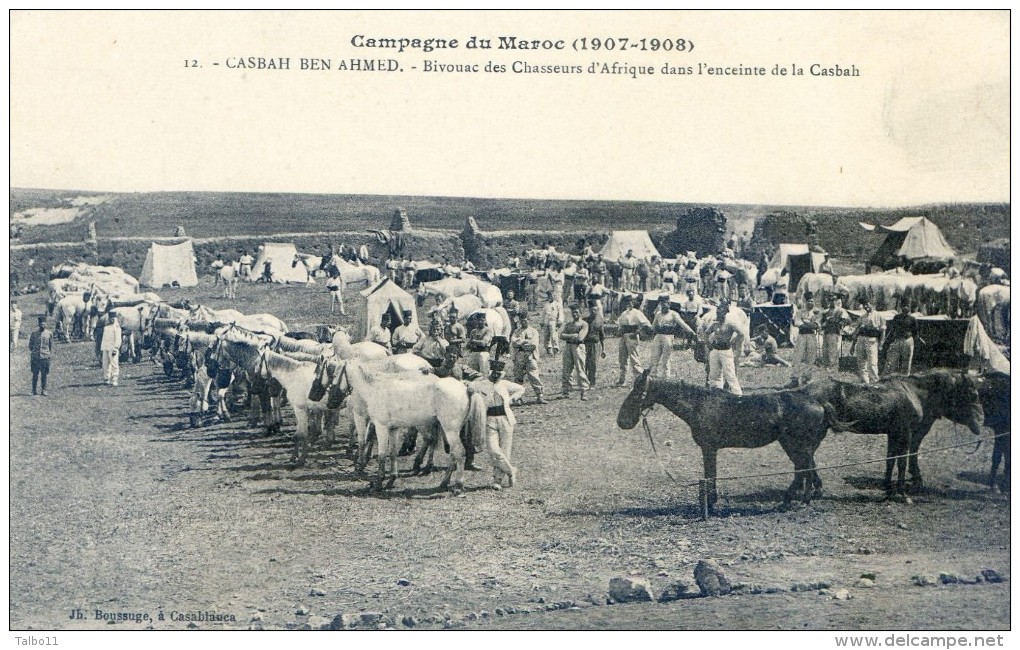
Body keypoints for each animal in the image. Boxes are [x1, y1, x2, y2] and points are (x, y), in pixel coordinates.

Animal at [616, 373, 832, 510]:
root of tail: (818, 402)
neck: (700, 404)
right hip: (794, 445)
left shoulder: (709, 449)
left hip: (796, 445)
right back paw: (802, 499)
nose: (622, 421)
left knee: (804, 468)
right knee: (805, 468)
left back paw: (795, 500)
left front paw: (710, 503)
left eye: (638, 392)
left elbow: (710, 475)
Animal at [799, 369, 983, 502]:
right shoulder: (905, 433)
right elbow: (901, 462)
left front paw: (889, 489)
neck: (912, 393)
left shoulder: (894, 433)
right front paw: (901, 493)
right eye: (973, 395)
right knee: (807, 457)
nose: (981, 421)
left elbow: (890, 460)